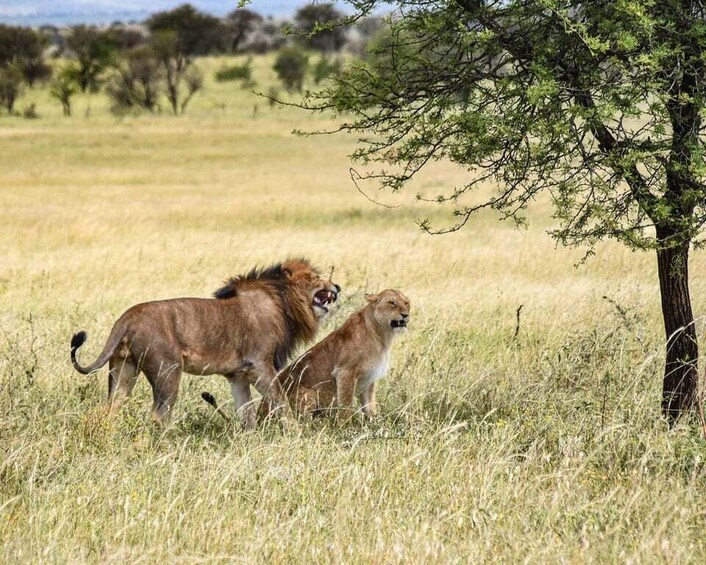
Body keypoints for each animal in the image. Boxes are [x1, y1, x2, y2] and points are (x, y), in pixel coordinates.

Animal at [70, 259, 340, 427]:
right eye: (316, 278)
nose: (336, 285)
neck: (282, 302)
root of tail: (126, 317)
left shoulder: (238, 374)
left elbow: (246, 412)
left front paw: (249, 438)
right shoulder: (260, 365)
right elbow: (281, 403)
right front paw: (296, 432)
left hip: (123, 369)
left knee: (110, 409)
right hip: (168, 370)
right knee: (159, 414)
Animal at [253, 289, 410, 422]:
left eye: (406, 303)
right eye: (392, 303)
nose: (406, 315)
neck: (382, 335)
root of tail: (259, 415)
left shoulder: (369, 378)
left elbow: (370, 406)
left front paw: (374, 424)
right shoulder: (345, 372)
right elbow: (346, 405)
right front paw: (345, 428)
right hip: (308, 394)